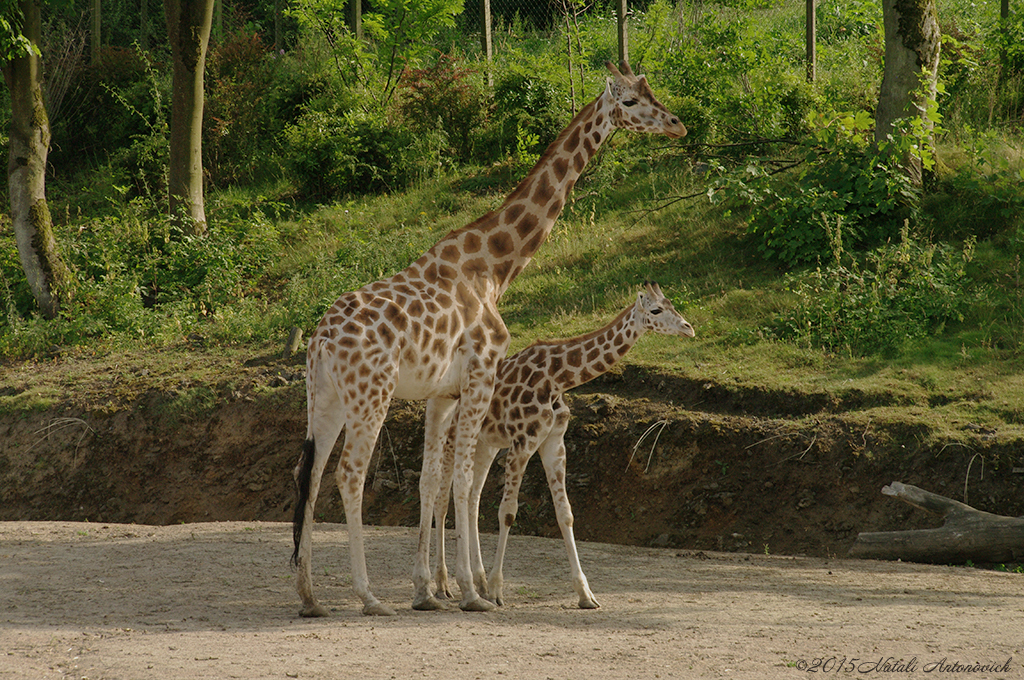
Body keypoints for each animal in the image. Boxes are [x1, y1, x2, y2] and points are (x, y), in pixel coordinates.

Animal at [428, 280, 692, 606]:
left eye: (672, 305)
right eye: (655, 310)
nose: (688, 328)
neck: (557, 378)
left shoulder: (554, 441)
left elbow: (565, 514)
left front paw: (585, 593)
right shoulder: (523, 441)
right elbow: (508, 512)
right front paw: (498, 589)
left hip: (486, 444)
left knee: (472, 498)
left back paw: (477, 581)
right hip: (452, 439)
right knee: (442, 500)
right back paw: (443, 584)